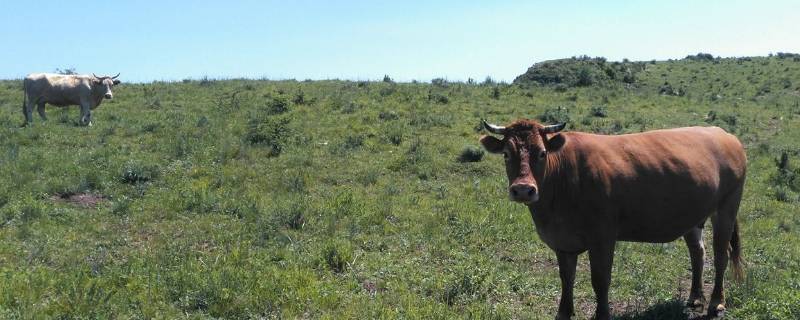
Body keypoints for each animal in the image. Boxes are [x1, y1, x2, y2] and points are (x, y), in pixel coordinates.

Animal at [478, 119, 748, 318]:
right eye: (506, 154)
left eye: (542, 153)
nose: (523, 189)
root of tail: (724, 134)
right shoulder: (562, 241)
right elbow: (566, 278)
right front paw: (563, 313)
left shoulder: (603, 236)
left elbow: (600, 279)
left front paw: (602, 315)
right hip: (693, 216)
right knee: (697, 253)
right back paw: (694, 298)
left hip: (727, 207)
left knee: (720, 255)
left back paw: (716, 302)